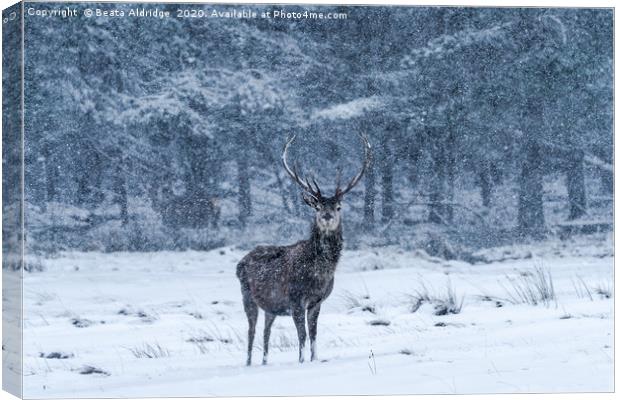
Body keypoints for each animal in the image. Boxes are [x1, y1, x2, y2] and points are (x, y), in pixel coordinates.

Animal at [235, 134, 370, 366]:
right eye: (317, 207)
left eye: (338, 207)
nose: (327, 216)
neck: (319, 275)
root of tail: (239, 262)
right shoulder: (295, 299)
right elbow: (302, 335)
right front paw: (301, 361)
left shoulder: (316, 302)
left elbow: (314, 334)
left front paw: (315, 359)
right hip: (247, 295)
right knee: (251, 331)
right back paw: (249, 363)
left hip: (271, 306)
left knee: (266, 331)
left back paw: (264, 361)